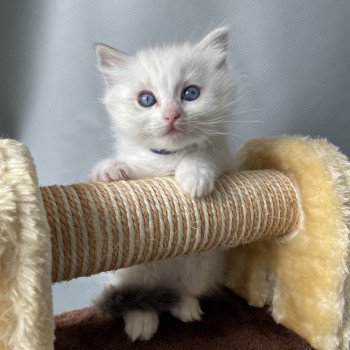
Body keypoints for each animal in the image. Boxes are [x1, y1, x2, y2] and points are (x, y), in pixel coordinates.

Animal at [91, 28, 235, 342]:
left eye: (190, 93)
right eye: (146, 99)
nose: (172, 114)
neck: (167, 158)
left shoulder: (226, 160)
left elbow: (201, 154)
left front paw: (194, 177)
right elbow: (129, 169)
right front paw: (110, 170)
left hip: (201, 264)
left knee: (184, 290)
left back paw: (186, 308)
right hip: (130, 268)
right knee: (138, 295)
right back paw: (142, 322)